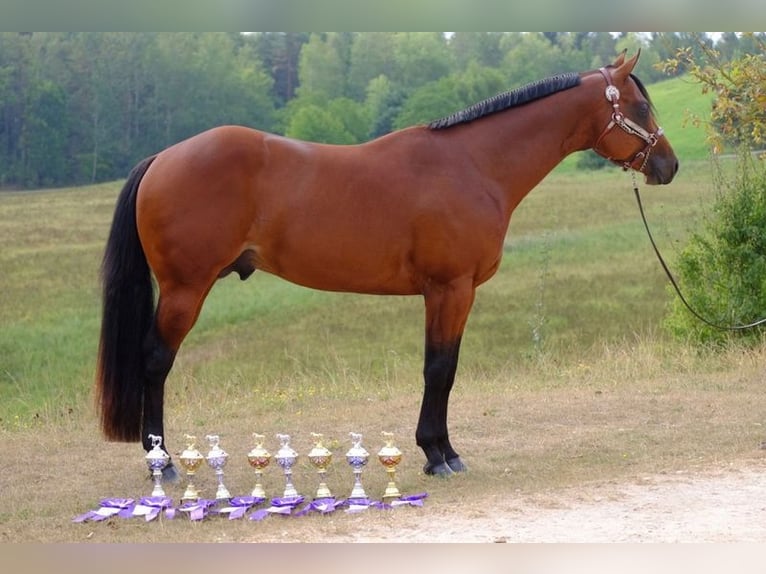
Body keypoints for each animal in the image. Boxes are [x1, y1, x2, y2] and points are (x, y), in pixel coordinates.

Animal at [96, 51, 678, 480]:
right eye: (639, 108)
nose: (669, 165)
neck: (473, 165)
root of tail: (163, 158)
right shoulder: (450, 289)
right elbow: (439, 370)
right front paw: (438, 456)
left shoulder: (451, 293)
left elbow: (444, 367)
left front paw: (441, 450)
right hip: (184, 290)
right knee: (155, 362)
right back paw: (163, 463)